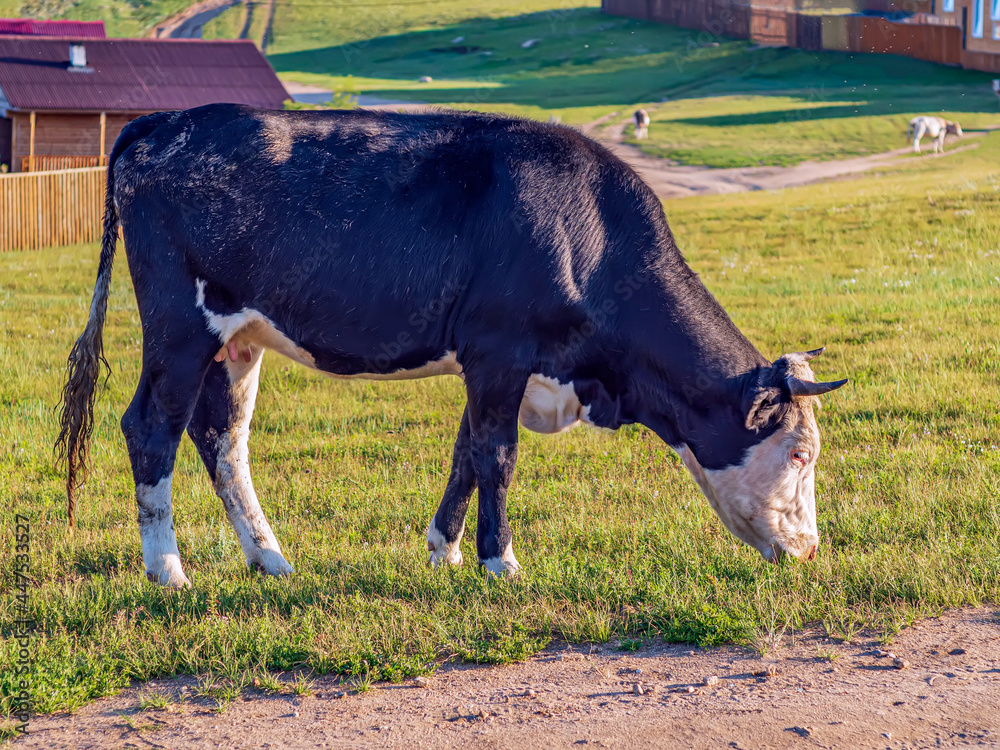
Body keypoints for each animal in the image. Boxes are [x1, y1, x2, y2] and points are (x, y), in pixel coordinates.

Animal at [58, 103, 848, 592]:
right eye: (799, 454)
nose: (812, 551)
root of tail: (166, 123)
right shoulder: (499, 350)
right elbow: (497, 456)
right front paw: (502, 563)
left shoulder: (495, 364)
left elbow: (467, 453)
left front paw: (446, 550)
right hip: (180, 327)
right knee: (151, 428)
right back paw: (168, 568)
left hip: (238, 340)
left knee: (221, 438)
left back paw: (269, 558)